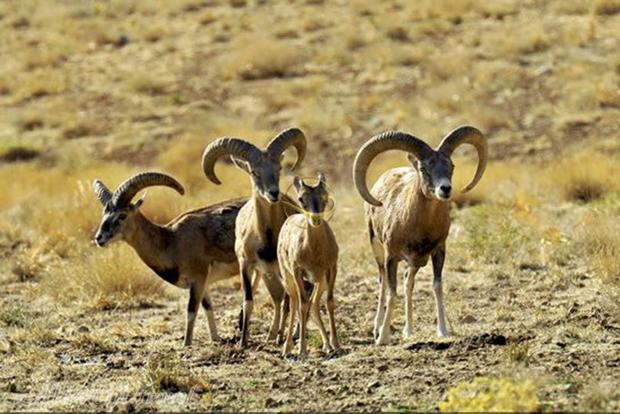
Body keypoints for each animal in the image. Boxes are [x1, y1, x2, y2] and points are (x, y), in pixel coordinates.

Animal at [92, 171, 247, 346]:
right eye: (104, 214)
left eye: (122, 215)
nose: (99, 238)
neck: (172, 241)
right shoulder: (203, 283)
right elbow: (208, 307)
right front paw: (215, 339)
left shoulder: (198, 279)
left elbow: (191, 310)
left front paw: (186, 344)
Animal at [278, 173, 342, 358]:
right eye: (301, 198)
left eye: (325, 195)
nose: (316, 219)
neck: (314, 251)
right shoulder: (298, 272)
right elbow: (302, 305)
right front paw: (302, 351)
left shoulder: (331, 269)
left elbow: (329, 302)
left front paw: (336, 345)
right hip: (289, 277)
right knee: (294, 303)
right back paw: (287, 348)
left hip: (320, 281)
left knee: (314, 303)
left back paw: (326, 345)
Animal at [352, 126, 486, 346]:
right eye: (424, 169)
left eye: (451, 166)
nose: (445, 189)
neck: (418, 226)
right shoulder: (391, 257)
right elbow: (392, 293)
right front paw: (383, 338)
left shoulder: (438, 252)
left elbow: (436, 287)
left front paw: (442, 331)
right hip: (379, 252)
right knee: (383, 283)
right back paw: (377, 329)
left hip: (414, 264)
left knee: (408, 282)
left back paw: (408, 330)